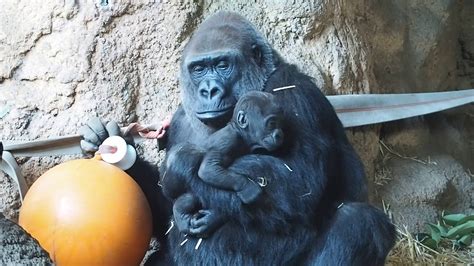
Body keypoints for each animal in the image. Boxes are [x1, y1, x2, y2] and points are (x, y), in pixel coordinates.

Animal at [163, 91, 284, 235]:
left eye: (280, 123)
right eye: (272, 123)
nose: (279, 135)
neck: (240, 132)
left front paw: (212, 218)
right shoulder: (228, 140)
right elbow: (208, 169)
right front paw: (248, 188)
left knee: (187, 198)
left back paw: (181, 213)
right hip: (170, 182)